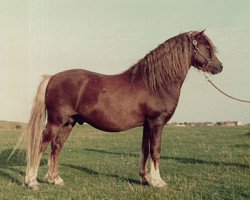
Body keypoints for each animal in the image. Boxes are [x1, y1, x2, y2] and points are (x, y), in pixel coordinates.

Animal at [18, 29, 224, 189]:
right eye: (207, 46)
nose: (219, 67)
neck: (155, 83)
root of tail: (52, 77)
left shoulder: (147, 125)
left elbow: (144, 150)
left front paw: (145, 179)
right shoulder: (156, 123)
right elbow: (155, 150)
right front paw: (158, 182)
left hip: (69, 122)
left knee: (56, 147)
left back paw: (55, 179)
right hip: (55, 122)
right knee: (41, 145)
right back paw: (32, 181)